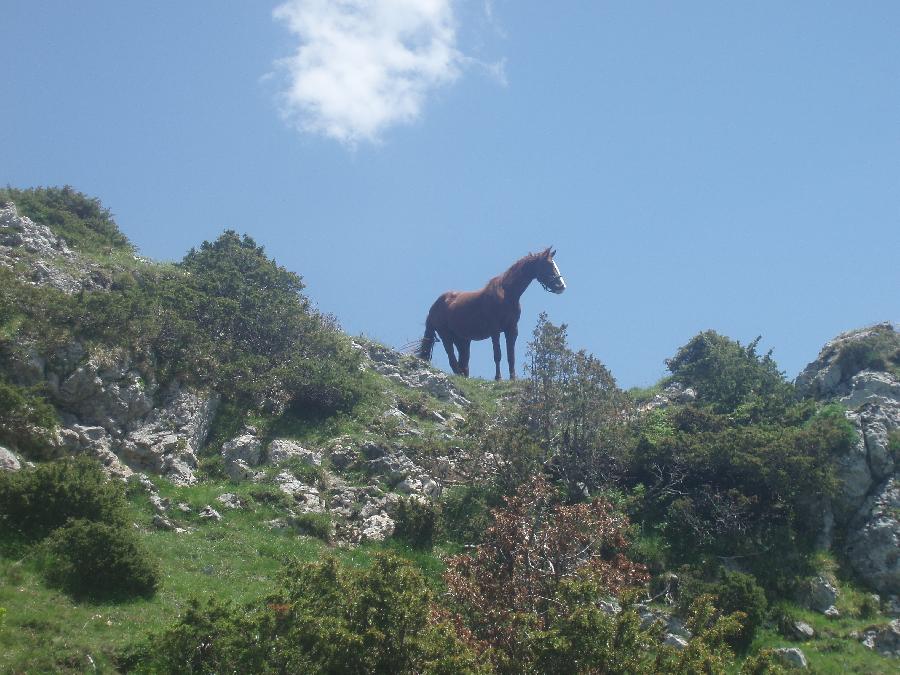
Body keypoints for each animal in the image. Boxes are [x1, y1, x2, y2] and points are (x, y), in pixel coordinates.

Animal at [418, 250, 568, 380]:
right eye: (548, 265)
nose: (562, 286)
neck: (507, 294)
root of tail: (434, 307)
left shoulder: (512, 330)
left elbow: (511, 356)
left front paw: (513, 379)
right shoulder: (495, 331)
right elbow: (498, 354)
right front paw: (498, 378)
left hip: (462, 340)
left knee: (463, 362)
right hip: (446, 336)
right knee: (452, 359)